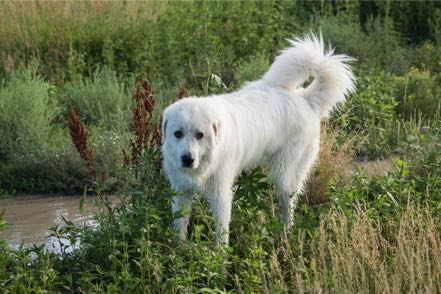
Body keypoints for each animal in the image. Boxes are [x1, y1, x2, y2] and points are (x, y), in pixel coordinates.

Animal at [161, 34, 354, 243]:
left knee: (288, 205)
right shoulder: (181, 191)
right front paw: (178, 249)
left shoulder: (221, 193)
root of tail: (304, 98)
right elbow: (179, 226)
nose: (187, 159)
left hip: (284, 175)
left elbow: (221, 232)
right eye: (178, 134)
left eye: (200, 135)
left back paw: (286, 235)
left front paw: (219, 253)